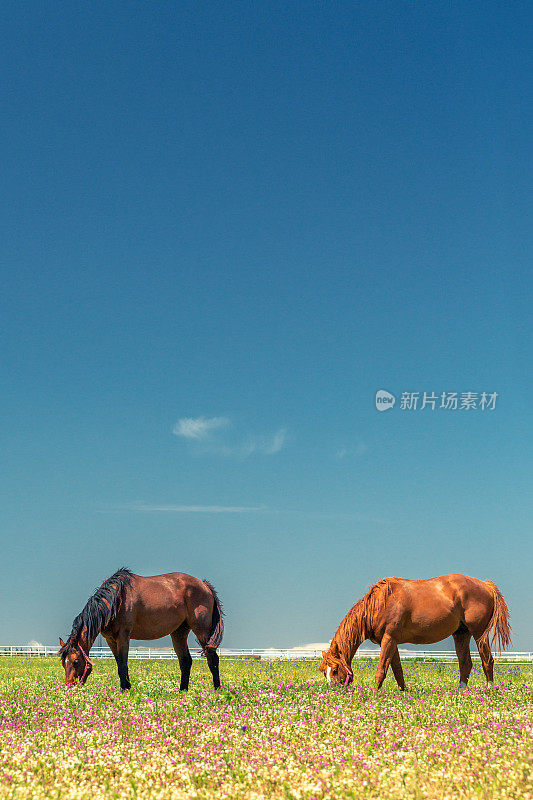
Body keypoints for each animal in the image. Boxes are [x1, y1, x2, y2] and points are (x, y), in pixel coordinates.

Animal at [59, 564, 223, 692]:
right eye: (63, 662)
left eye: (75, 661)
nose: (69, 686)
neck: (115, 601)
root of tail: (204, 585)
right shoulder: (111, 640)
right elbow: (119, 663)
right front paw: (127, 687)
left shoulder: (123, 636)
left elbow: (122, 665)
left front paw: (125, 690)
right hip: (179, 633)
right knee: (185, 661)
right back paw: (183, 691)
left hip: (202, 630)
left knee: (212, 658)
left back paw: (216, 690)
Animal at [320, 572, 512, 692]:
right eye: (324, 671)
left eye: (335, 670)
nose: (333, 694)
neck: (379, 604)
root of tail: (486, 585)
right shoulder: (391, 642)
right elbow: (397, 670)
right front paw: (403, 693)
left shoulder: (389, 639)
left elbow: (381, 670)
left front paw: (374, 694)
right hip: (461, 634)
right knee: (465, 664)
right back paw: (460, 692)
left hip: (480, 633)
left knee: (487, 661)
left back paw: (489, 690)